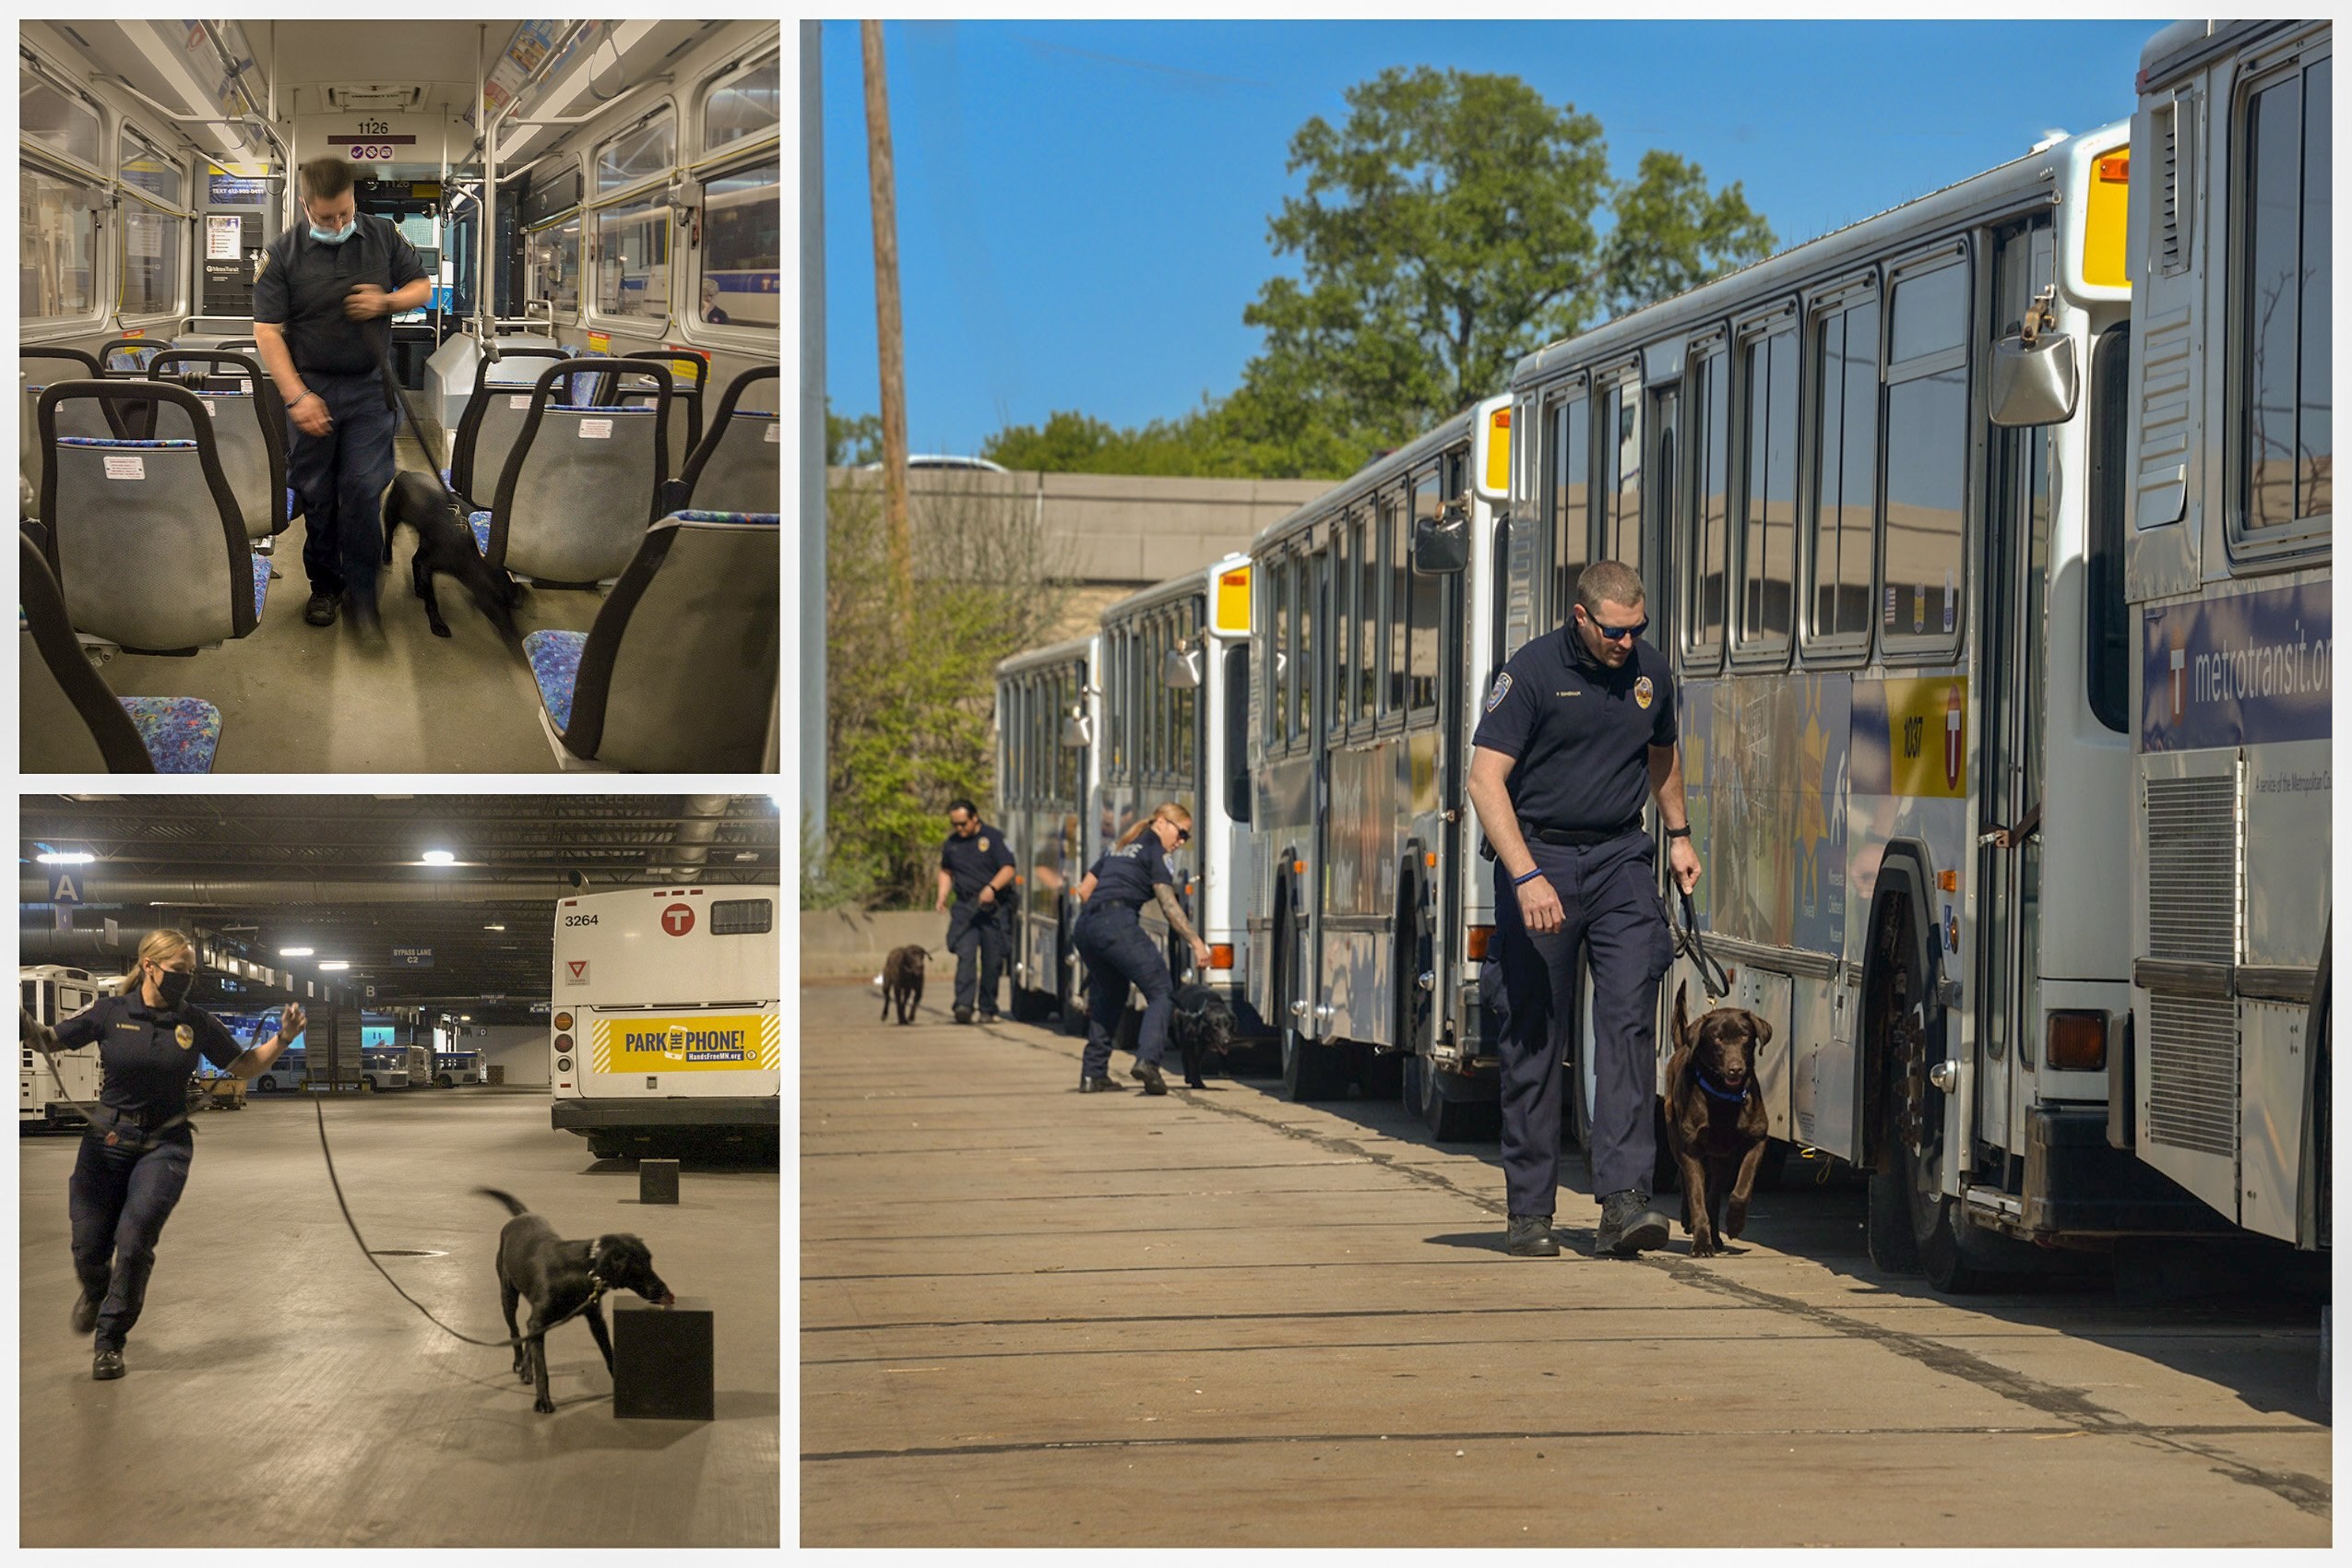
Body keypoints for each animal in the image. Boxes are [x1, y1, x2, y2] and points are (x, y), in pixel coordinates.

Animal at [386, 469, 519, 639]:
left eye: (508, 605)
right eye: (494, 606)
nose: (515, 637)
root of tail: (404, 473)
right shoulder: (428, 565)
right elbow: (432, 598)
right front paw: (437, 625)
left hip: (424, 541)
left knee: (414, 559)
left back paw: (418, 588)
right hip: (392, 515)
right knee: (389, 536)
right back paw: (387, 556)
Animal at [472, 1189, 668, 1410]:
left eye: (649, 1260)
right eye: (638, 1267)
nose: (663, 1289)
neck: (586, 1268)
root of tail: (521, 1216)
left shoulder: (595, 1320)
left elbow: (609, 1355)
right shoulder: (539, 1320)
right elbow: (542, 1368)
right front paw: (543, 1400)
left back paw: (526, 1369)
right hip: (508, 1296)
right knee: (515, 1332)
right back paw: (520, 1363)